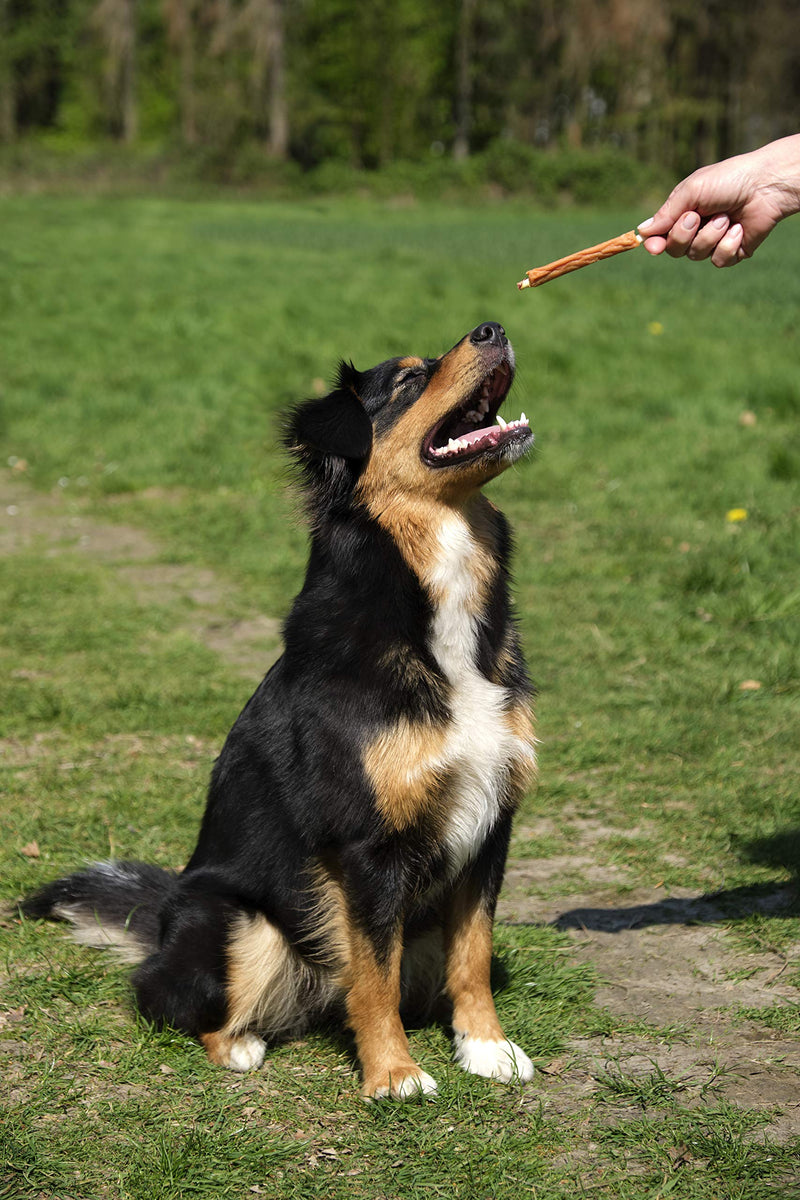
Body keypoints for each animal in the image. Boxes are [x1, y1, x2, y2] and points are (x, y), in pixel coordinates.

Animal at [21, 316, 537, 1099]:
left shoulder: (490, 820)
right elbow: (374, 977)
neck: (429, 594)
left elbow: (471, 955)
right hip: (240, 923)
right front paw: (394, 1075)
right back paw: (240, 1045)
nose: (494, 326)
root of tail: (163, 915)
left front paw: (485, 1047)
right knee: (162, 997)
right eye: (410, 379)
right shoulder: (366, 846)